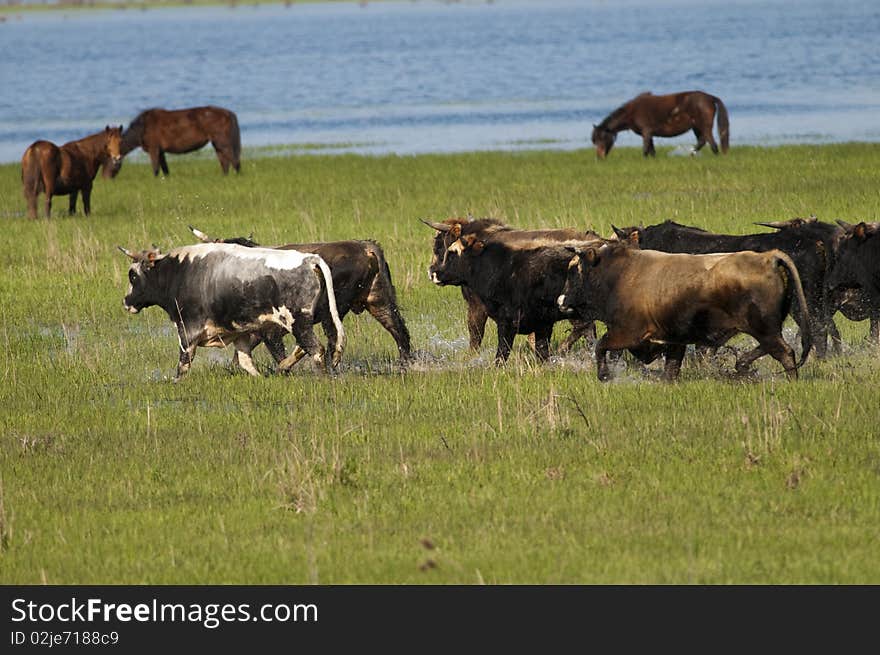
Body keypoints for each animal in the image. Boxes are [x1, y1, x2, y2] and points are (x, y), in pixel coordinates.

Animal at [119, 243, 344, 382]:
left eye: (133, 276)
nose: (126, 302)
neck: (178, 273)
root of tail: (309, 259)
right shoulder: (240, 333)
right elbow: (245, 362)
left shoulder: (187, 331)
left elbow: (183, 364)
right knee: (307, 347)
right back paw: (283, 367)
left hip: (298, 321)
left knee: (315, 349)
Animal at [189, 227, 410, 366]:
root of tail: (366, 247)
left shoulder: (271, 329)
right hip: (380, 301)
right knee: (400, 333)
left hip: (333, 310)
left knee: (333, 341)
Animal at [592, 90, 728, 160]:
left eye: (602, 138)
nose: (599, 157)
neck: (632, 112)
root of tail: (710, 97)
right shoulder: (649, 134)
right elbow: (652, 150)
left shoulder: (646, 132)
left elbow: (646, 149)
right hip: (696, 127)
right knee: (703, 141)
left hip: (704, 126)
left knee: (711, 143)